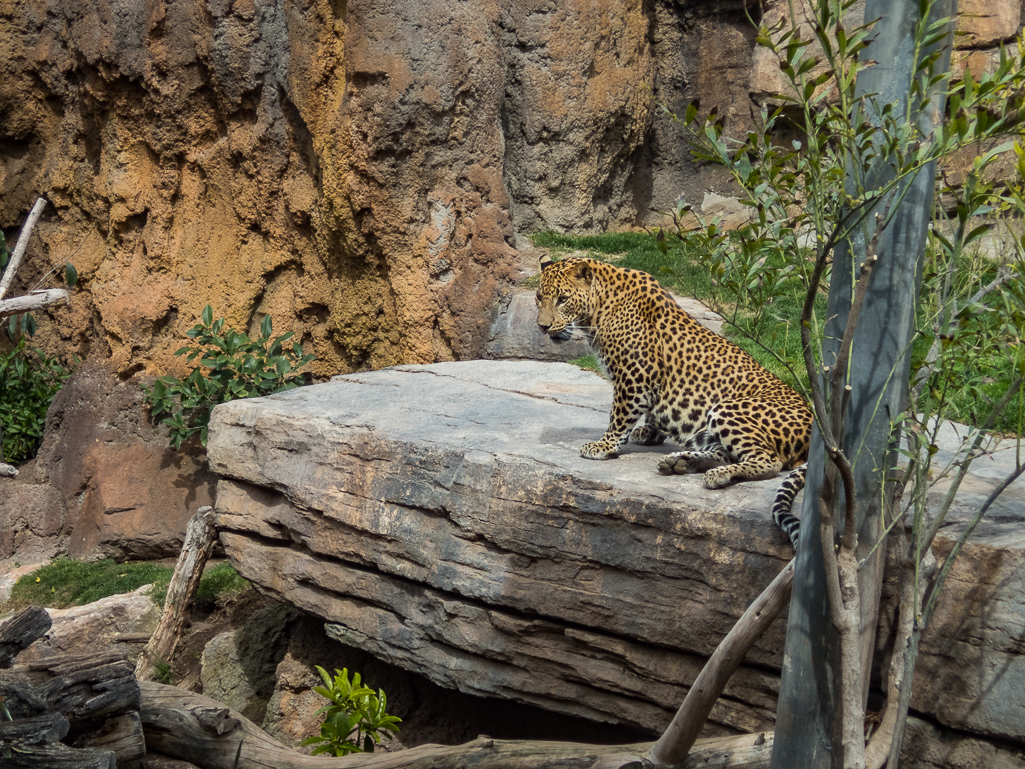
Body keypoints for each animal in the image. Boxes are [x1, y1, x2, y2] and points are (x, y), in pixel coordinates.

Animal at [537, 256, 815, 545]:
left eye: (562, 299)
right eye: (538, 298)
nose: (542, 326)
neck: (599, 309)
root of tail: (814, 424)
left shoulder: (633, 378)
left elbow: (618, 415)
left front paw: (604, 446)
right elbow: (651, 411)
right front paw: (649, 433)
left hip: (726, 409)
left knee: (769, 461)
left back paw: (717, 475)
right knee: (724, 453)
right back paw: (681, 462)